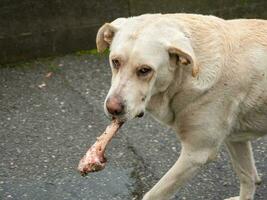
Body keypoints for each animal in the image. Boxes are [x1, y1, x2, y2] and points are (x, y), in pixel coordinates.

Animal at [97, 14, 267, 200]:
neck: (184, 77)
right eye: (115, 62)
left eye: (144, 70)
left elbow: (154, 194)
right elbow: (247, 175)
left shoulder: (196, 154)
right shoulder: (235, 139)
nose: (112, 108)